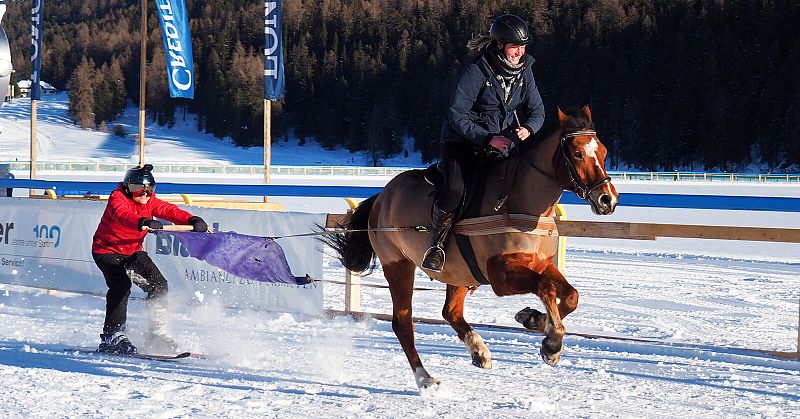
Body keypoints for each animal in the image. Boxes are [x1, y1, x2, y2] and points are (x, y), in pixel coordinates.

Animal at [324, 106, 620, 394]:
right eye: (578, 153)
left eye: (604, 151)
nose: (608, 199)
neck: (519, 203)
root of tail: (381, 198)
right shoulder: (500, 275)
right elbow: (545, 288)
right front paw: (552, 343)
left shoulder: (539, 263)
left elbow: (571, 295)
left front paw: (534, 319)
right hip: (398, 266)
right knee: (403, 323)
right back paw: (425, 379)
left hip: (457, 274)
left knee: (450, 312)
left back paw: (479, 350)